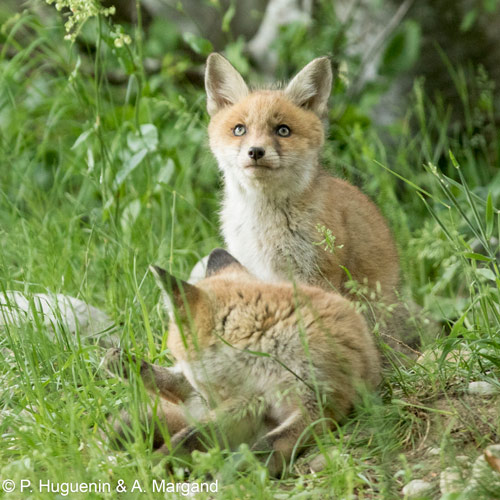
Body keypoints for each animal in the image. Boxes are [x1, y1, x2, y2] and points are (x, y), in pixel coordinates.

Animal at [104, 248, 378, 474]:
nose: (208, 402)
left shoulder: (318, 406)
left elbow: (267, 444)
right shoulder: (249, 400)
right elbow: (189, 437)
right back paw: (126, 364)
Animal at [205, 53, 424, 356]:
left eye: (283, 130)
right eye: (240, 129)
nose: (256, 151)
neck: (264, 227)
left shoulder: (317, 273)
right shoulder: (251, 268)